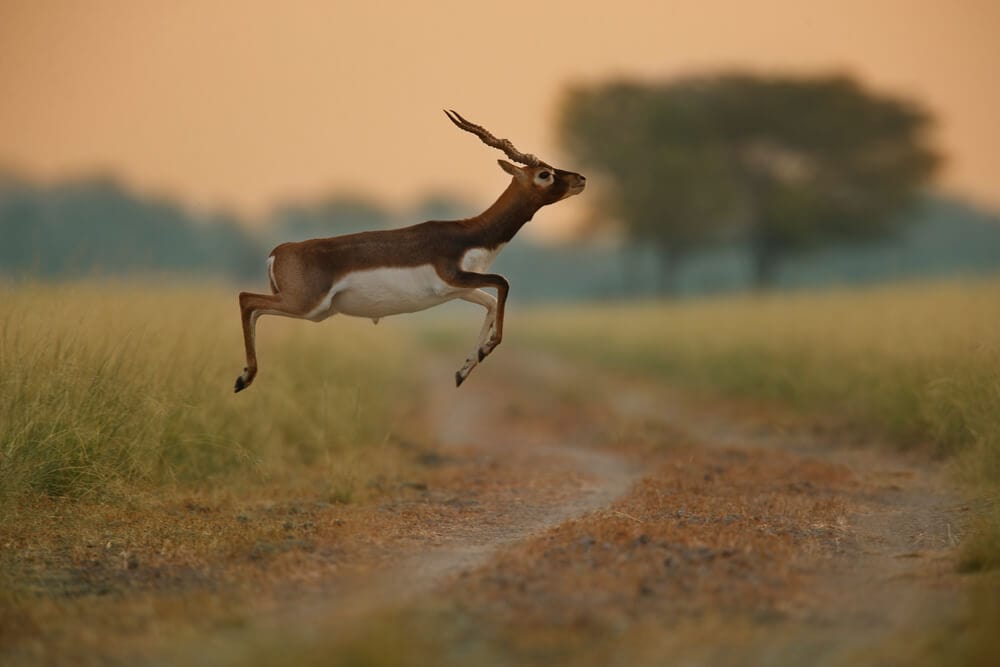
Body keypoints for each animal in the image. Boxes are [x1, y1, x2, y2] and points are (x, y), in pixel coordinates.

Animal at [234, 109, 584, 392]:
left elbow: (489, 302)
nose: (580, 178)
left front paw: (464, 370)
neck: (472, 232)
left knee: (254, 308)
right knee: (246, 299)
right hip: (307, 304)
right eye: (544, 174)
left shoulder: (459, 288)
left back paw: (244, 377)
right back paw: (244, 378)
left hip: (311, 309)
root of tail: (279, 251)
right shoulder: (454, 277)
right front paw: (485, 351)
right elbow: (503, 284)